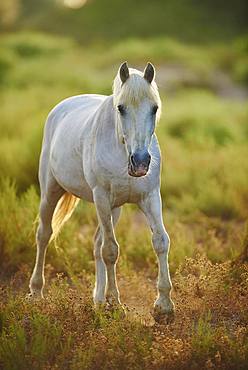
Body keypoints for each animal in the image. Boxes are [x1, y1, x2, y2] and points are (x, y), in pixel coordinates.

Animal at [29, 61, 174, 320]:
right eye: (121, 108)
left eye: (154, 108)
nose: (140, 162)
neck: (121, 150)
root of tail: (60, 108)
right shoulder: (102, 198)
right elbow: (110, 251)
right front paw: (115, 304)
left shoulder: (150, 198)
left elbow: (160, 241)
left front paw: (164, 306)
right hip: (51, 193)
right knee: (44, 234)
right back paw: (36, 292)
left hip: (115, 210)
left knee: (96, 243)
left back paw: (97, 299)